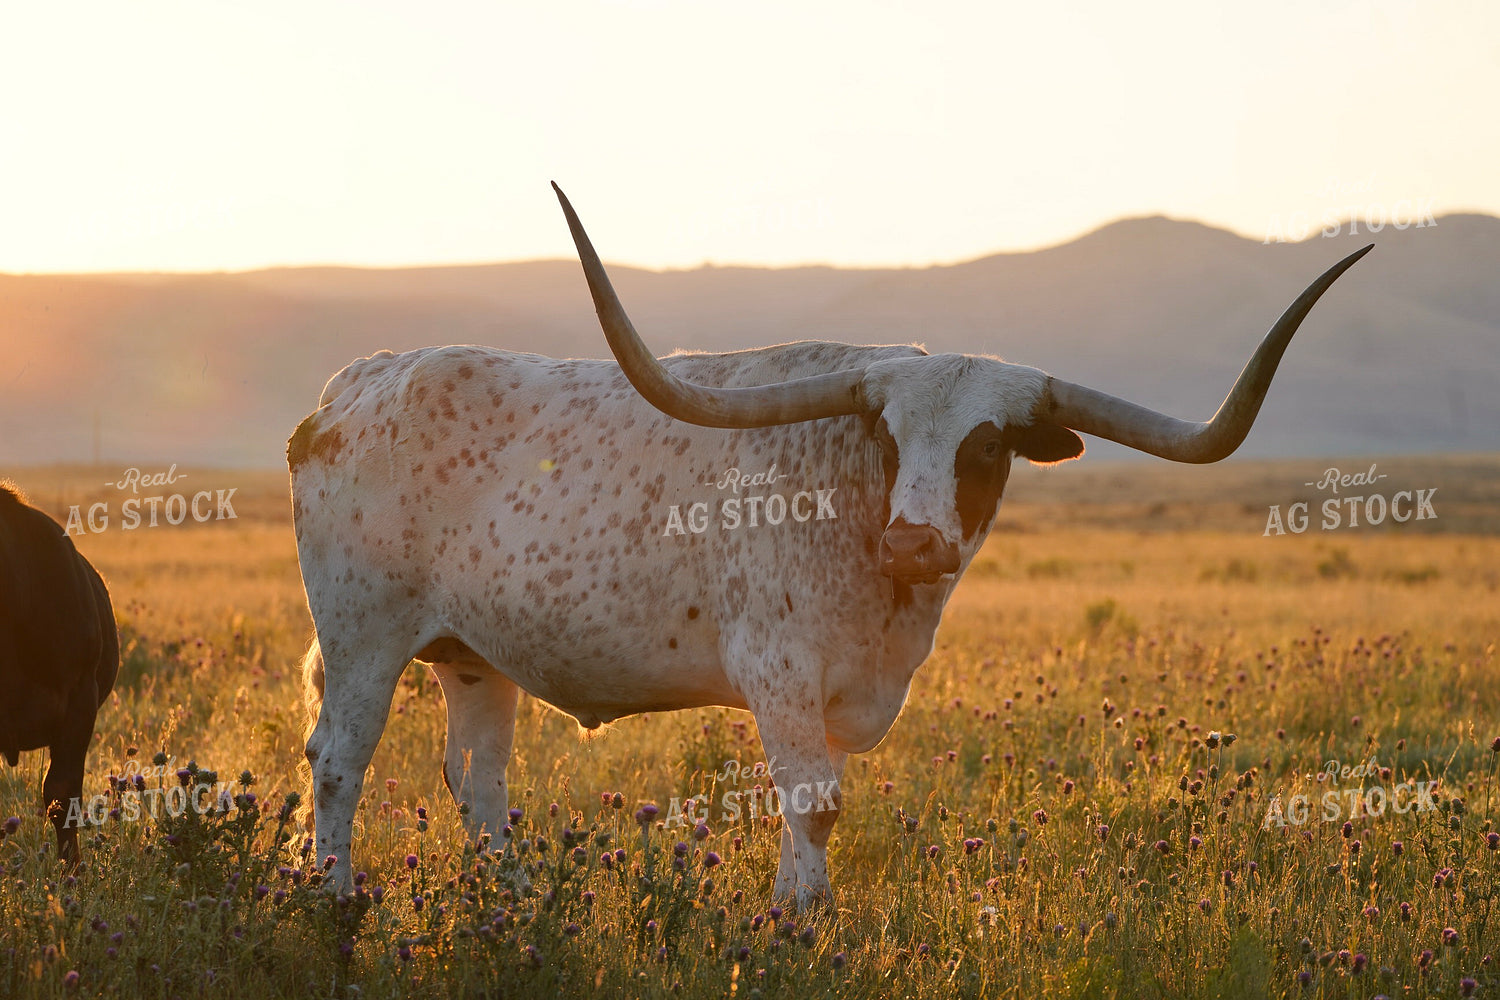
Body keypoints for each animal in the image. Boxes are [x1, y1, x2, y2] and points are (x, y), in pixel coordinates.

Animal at [289, 184, 1369, 907]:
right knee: (340, 758)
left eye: (989, 446)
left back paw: (512, 907)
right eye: (888, 433)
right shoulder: (780, 673)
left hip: (475, 656)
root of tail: (354, 384)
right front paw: (795, 923)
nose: (917, 542)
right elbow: (810, 808)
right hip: (362, 636)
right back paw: (336, 899)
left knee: (479, 785)